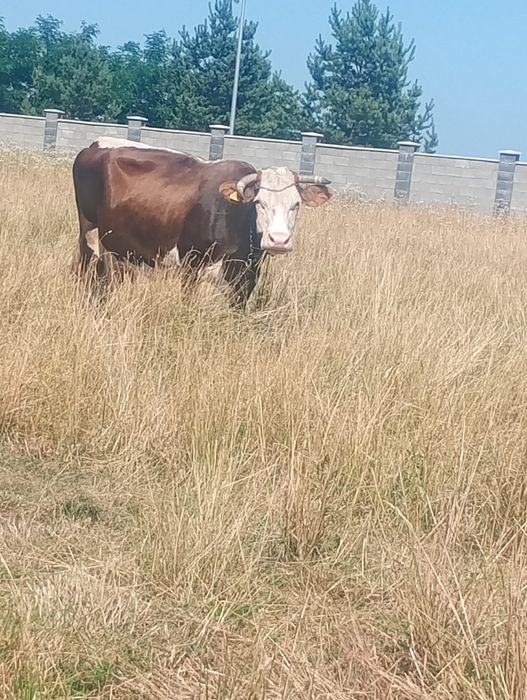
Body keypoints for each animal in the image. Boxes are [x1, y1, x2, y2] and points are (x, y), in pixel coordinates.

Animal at [72, 137, 332, 306]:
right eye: (259, 202)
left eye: (296, 204)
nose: (278, 240)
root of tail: (93, 146)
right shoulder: (191, 266)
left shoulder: (245, 280)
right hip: (88, 231)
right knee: (88, 270)